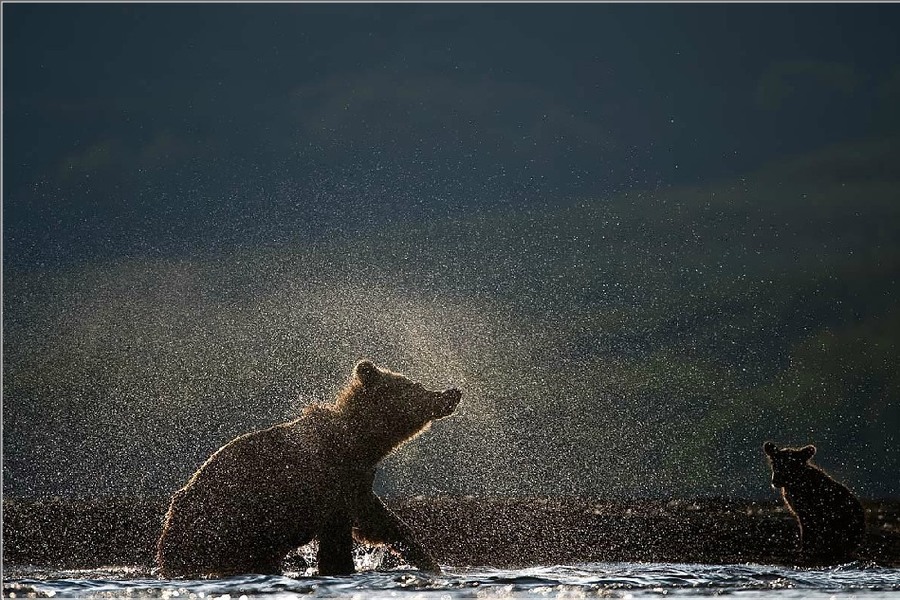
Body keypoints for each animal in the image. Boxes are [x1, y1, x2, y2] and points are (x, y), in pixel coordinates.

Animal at [155, 360, 460, 576]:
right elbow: (341, 543)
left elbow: (380, 523)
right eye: (416, 386)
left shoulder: (356, 483)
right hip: (224, 527)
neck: (358, 444)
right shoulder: (332, 485)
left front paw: (429, 562)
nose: (452, 393)